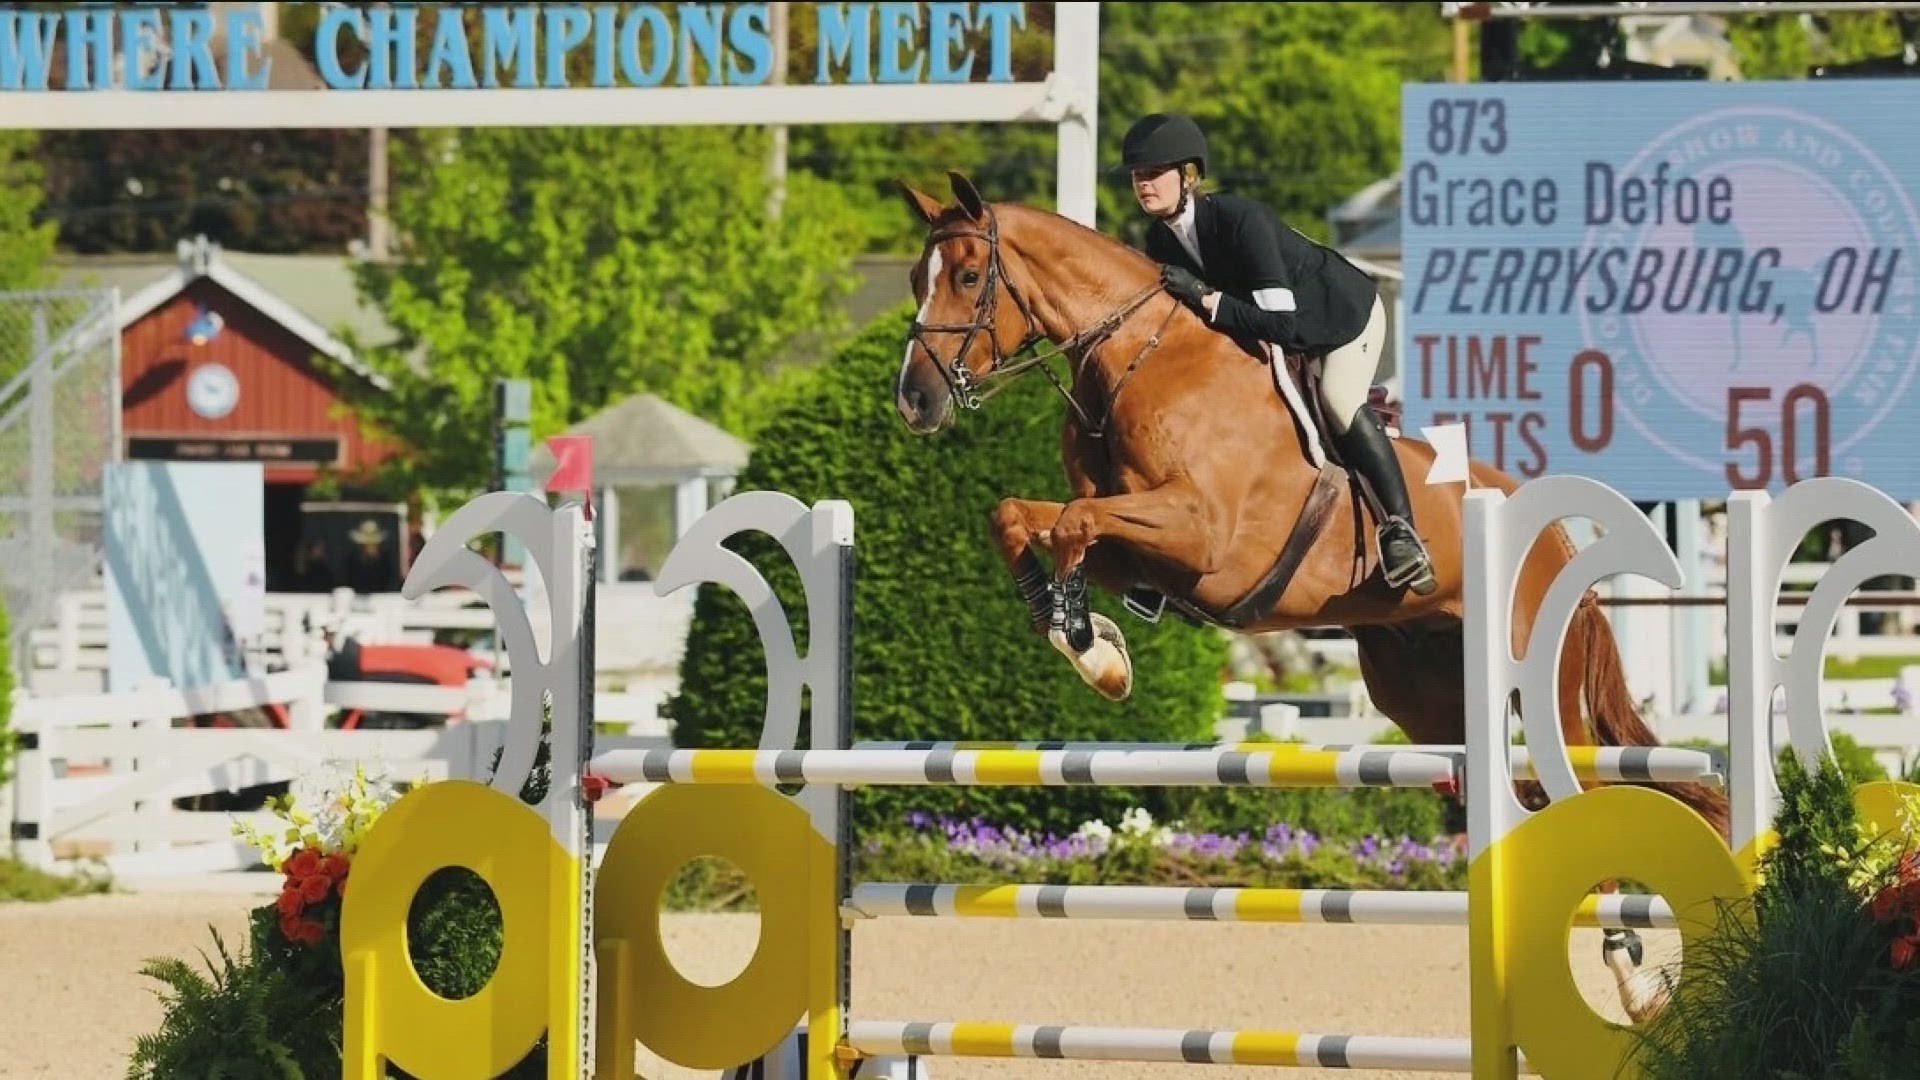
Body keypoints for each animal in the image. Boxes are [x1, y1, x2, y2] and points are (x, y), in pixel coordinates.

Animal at [890, 170, 1735, 849]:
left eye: (968, 275)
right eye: (913, 278)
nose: (914, 401)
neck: (1138, 359)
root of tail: (1560, 539)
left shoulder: (1203, 541)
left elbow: (1071, 521)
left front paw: (1088, 646)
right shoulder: (1139, 546)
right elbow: (1020, 515)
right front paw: (1080, 634)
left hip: (1541, 688)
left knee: (1590, 785)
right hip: (1423, 692)